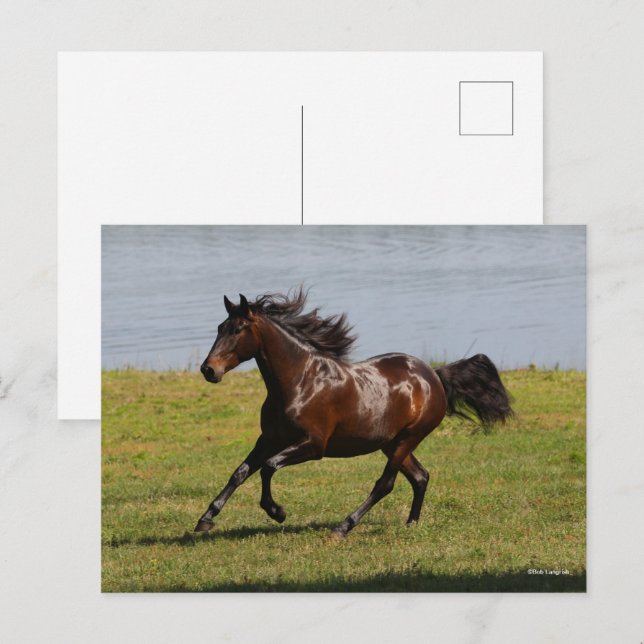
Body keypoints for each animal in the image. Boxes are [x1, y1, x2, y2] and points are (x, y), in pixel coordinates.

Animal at [196, 289, 513, 538]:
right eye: (219, 327)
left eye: (237, 329)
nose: (208, 370)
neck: (299, 382)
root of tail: (434, 375)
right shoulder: (269, 438)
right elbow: (240, 472)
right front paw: (205, 519)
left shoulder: (313, 445)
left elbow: (269, 467)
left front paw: (278, 512)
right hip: (392, 443)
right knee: (420, 476)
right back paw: (411, 523)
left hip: (408, 438)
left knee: (385, 484)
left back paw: (343, 527)